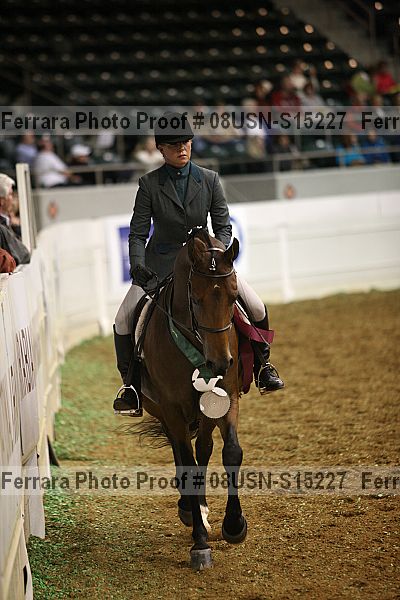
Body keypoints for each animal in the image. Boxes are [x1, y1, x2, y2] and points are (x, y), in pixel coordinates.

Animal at [129, 228, 246, 570]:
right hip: (163, 412)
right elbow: (188, 464)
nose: (221, 363)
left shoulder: (226, 397)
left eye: (234, 298)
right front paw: (200, 544)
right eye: (195, 299)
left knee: (203, 450)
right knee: (183, 456)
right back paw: (189, 510)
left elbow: (230, 452)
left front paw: (234, 525)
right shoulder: (172, 409)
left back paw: (202, 509)